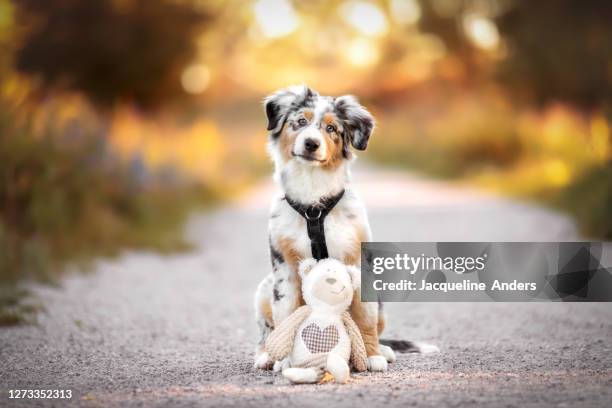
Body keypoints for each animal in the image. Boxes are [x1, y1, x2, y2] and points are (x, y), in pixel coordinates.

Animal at [253, 84, 430, 372]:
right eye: (300, 122)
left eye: (331, 128)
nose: (311, 143)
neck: (313, 202)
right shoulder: (284, 268)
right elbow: (286, 315)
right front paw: (284, 361)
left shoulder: (357, 263)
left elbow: (364, 318)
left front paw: (371, 356)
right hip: (263, 290)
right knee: (265, 332)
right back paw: (266, 355)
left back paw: (384, 350)